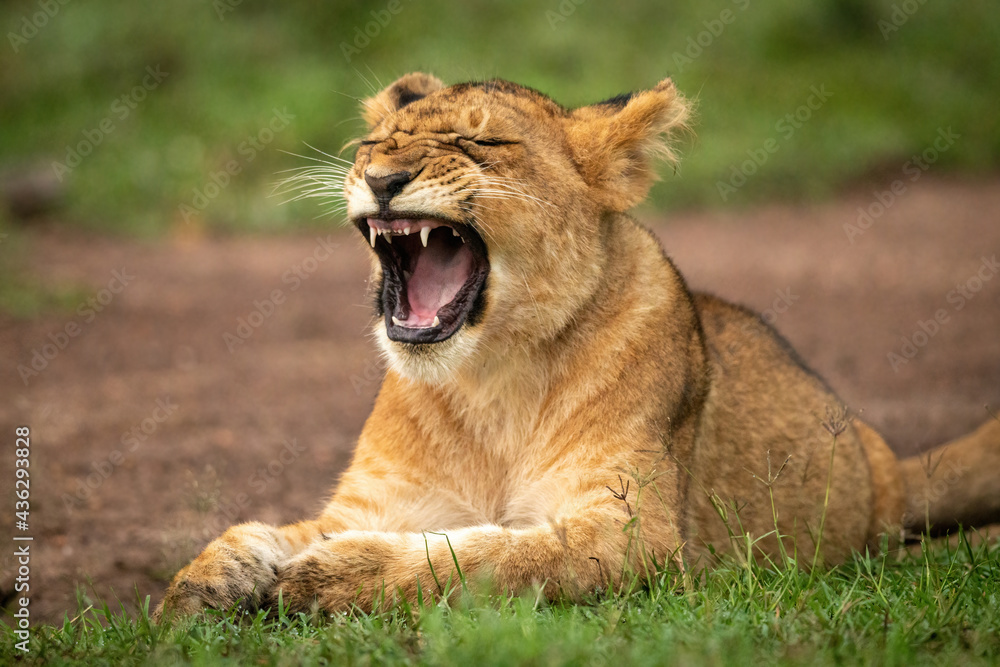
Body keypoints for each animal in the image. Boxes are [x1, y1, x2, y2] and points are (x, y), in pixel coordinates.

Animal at [156, 73, 1000, 618]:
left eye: (481, 141)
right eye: (374, 142)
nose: (384, 177)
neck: (488, 377)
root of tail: (883, 462)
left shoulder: (632, 531)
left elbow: (490, 554)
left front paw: (333, 575)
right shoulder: (376, 501)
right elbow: (262, 531)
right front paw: (201, 583)